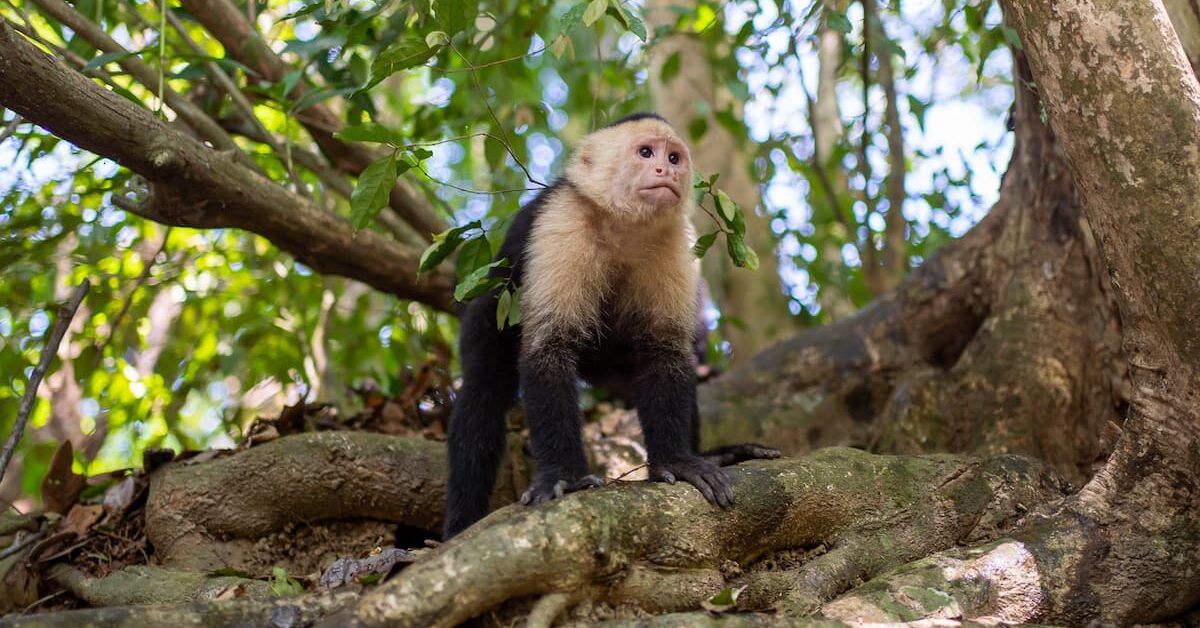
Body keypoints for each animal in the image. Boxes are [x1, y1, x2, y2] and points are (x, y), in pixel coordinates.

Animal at [446, 112, 782, 540]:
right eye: (646, 153)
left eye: (674, 157)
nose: (665, 170)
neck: (625, 224)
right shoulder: (562, 222)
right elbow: (549, 348)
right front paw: (565, 477)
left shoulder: (676, 240)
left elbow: (665, 352)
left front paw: (678, 463)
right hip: (488, 313)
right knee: (483, 390)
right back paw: (458, 526)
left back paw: (716, 455)